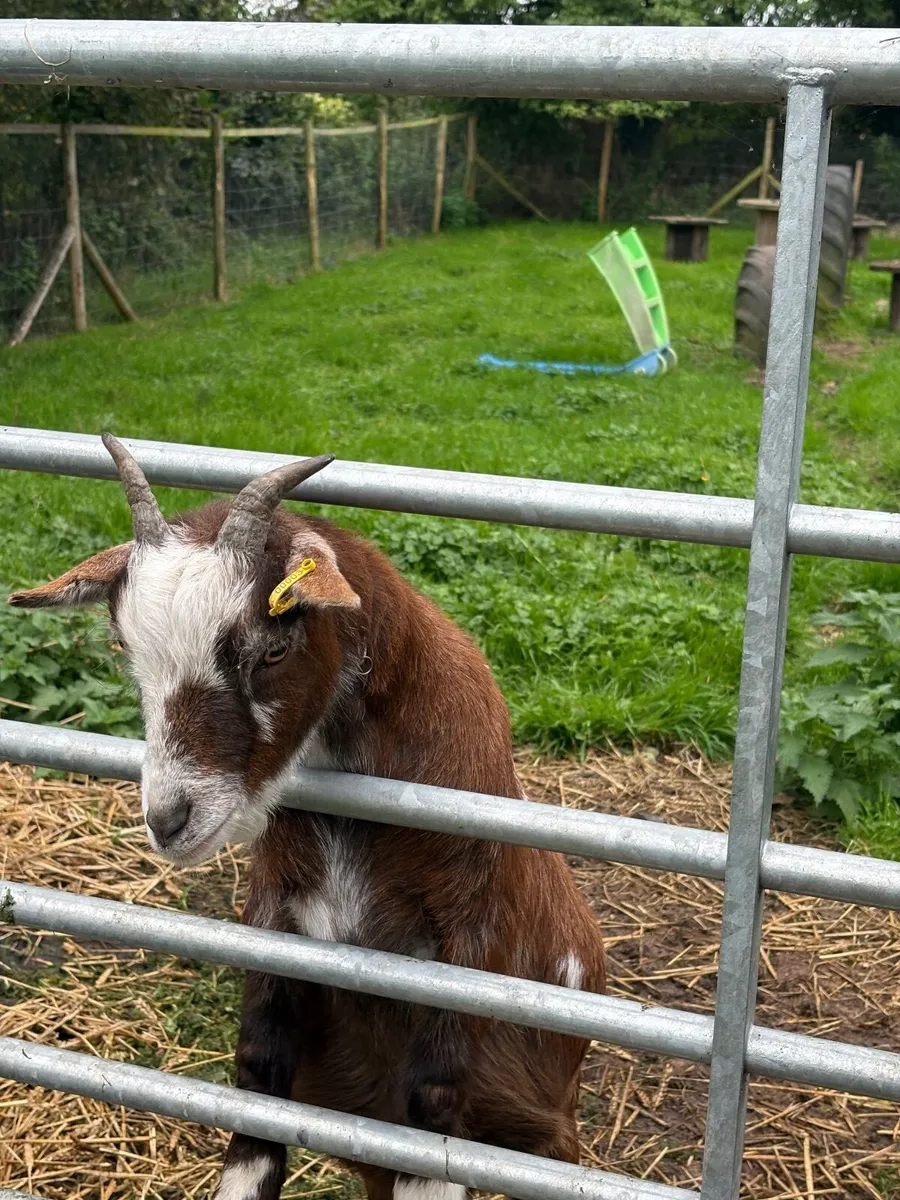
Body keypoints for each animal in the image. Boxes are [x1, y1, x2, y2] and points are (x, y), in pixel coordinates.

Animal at [9, 435, 606, 1200]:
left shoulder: (467, 943)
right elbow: (256, 1085)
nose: (169, 819)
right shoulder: (278, 927)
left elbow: (435, 1106)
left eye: (271, 649)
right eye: (125, 650)